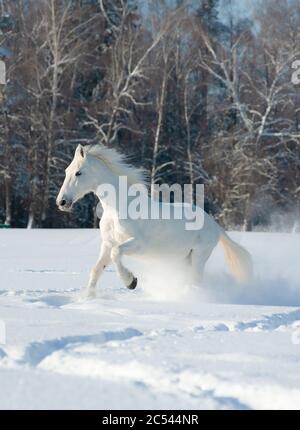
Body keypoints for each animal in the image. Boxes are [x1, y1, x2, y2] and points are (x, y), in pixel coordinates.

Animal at [56, 144, 253, 296]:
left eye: (78, 173)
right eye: (66, 171)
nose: (61, 202)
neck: (117, 209)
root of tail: (214, 224)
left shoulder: (137, 244)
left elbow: (116, 254)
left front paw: (131, 282)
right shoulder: (107, 244)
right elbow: (96, 269)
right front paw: (87, 299)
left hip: (199, 256)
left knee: (197, 281)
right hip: (183, 259)